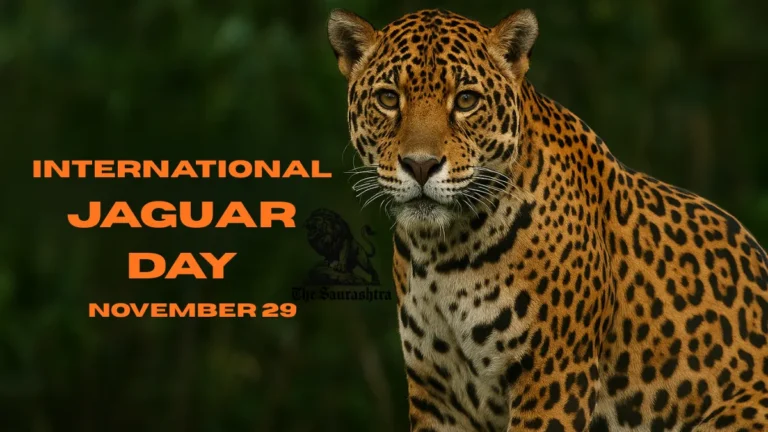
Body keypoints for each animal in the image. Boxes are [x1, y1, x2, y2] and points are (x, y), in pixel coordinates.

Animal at [327, 8, 768, 432]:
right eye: (388, 98)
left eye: (466, 101)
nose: (420, 165)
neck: (444, 250)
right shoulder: (437, 394)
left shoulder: (554, 377)